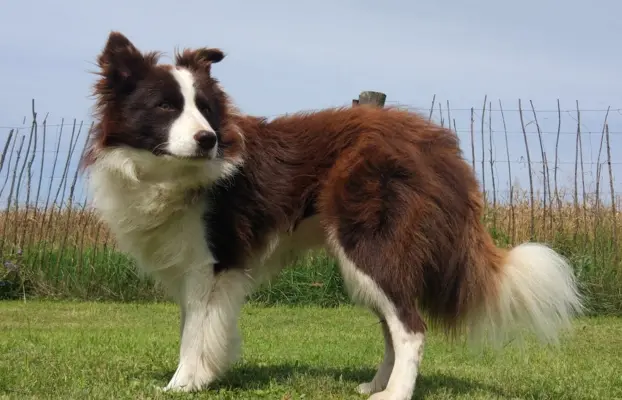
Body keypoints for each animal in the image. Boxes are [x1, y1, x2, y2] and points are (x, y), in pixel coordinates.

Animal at [83, 32, 584, 400]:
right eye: (166, 106)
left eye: (205, 109)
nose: (209, 139)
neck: (171, 174)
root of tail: (437, 145)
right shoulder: (192, 262)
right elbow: (194, 325)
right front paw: (201, 376)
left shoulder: (214, 261)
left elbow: (195, 333)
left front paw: (182, 384)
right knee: (392, 325)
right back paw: (376, 384)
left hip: (370, 244)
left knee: (411, 327)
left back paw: (395, 394)